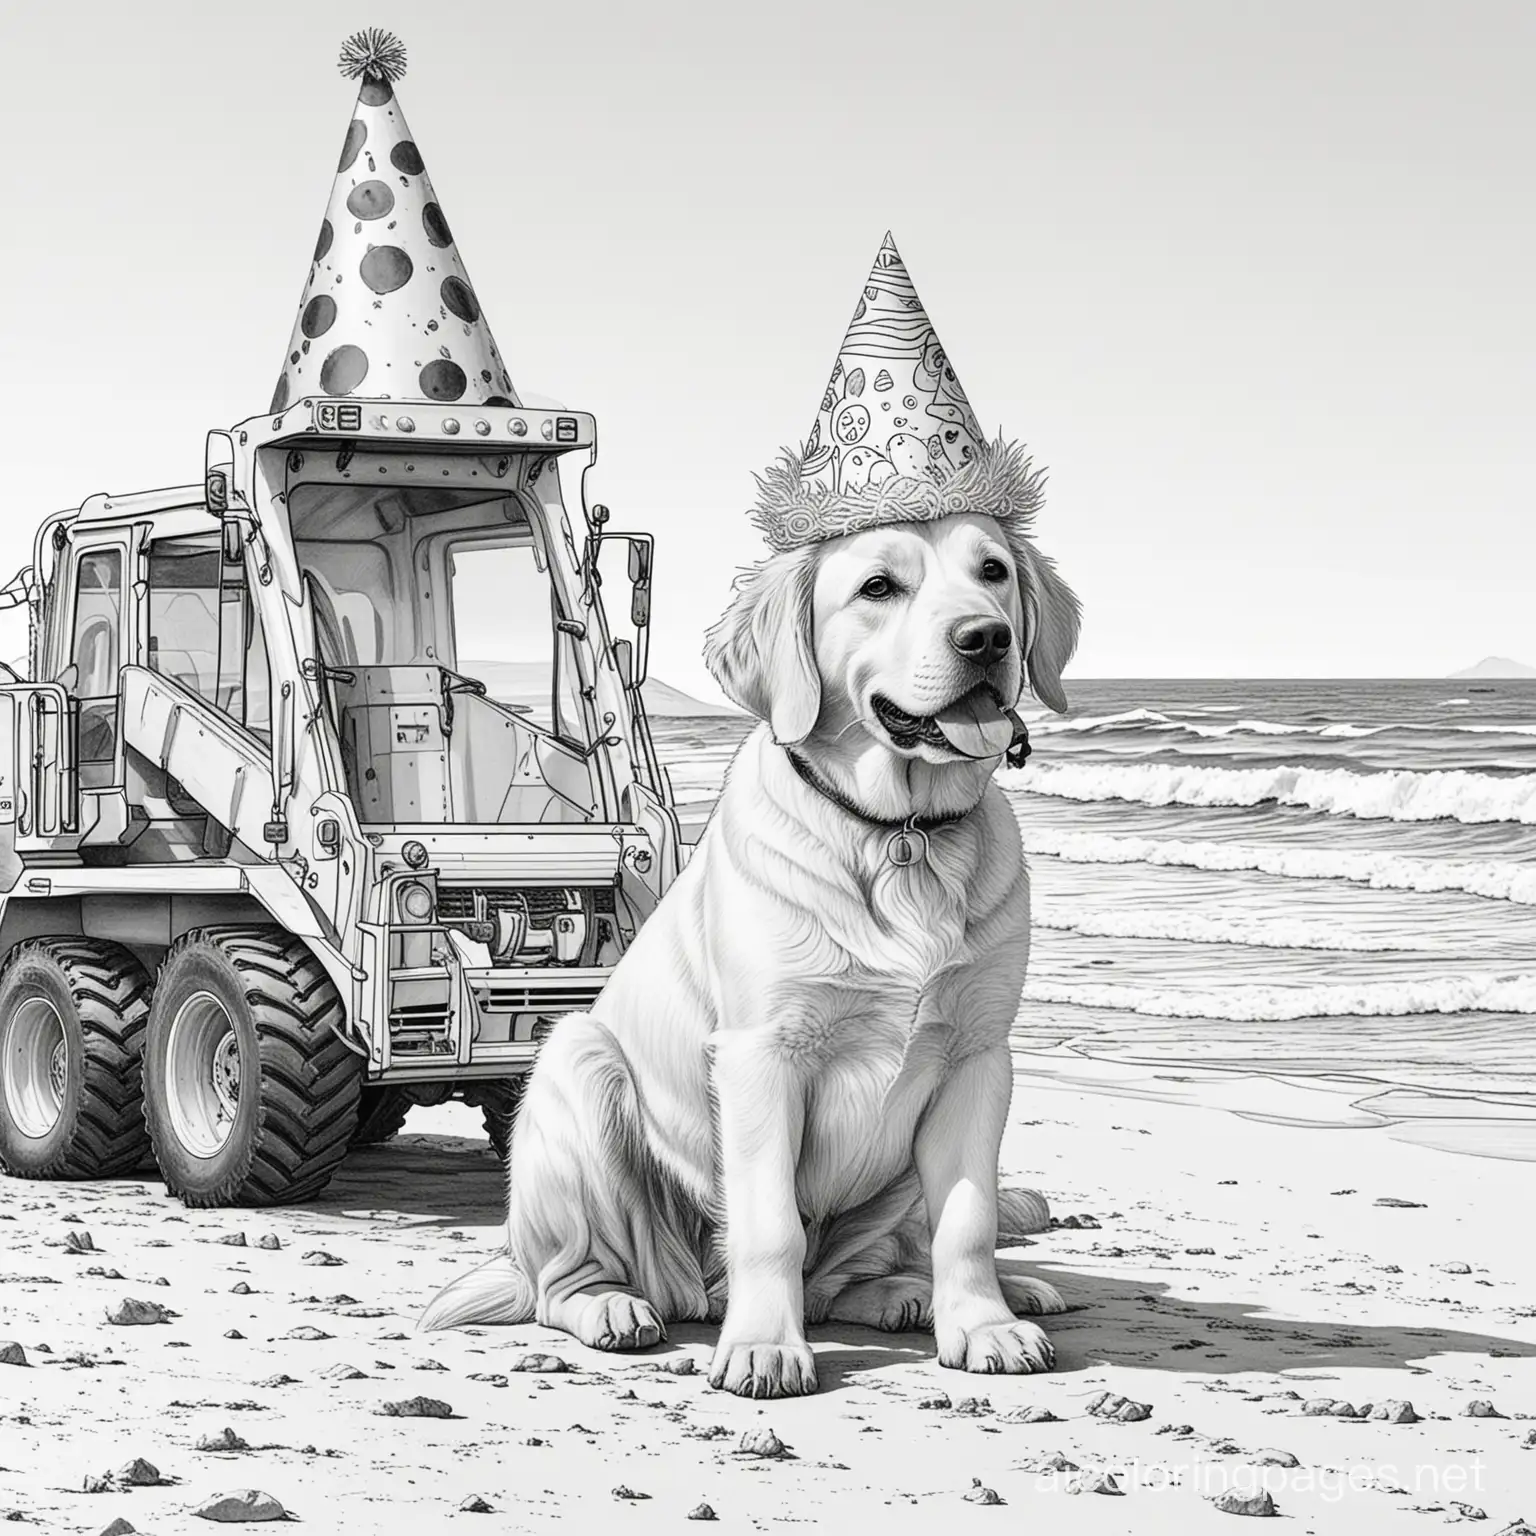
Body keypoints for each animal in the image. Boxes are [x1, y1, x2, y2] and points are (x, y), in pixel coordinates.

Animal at [423, 439, 1081, 1400]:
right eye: (878, 587)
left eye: (992, 572)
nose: (986, 638)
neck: (898, 833)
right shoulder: (761, 1057)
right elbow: (770, 1223)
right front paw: (767, 1347)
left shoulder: (977, 1058)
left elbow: (968, 1218)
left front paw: (983, 1325)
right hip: (580, 1072)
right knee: (563, 1281)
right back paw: (617, 1308)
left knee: (851, 1273)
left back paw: (921, 1295)